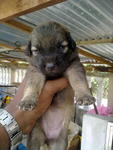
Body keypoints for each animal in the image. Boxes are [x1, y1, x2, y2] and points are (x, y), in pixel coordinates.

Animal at [19, 22, 94, 150]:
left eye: (61, 47)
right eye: (37, 50)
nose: (50, 66)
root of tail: (47, 139)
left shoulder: (74, 66)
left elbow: (79, 81)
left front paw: (84, 96)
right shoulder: (35, 70)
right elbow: (32, 85)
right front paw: (27, 100)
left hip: (60, 141)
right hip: (35, 136)